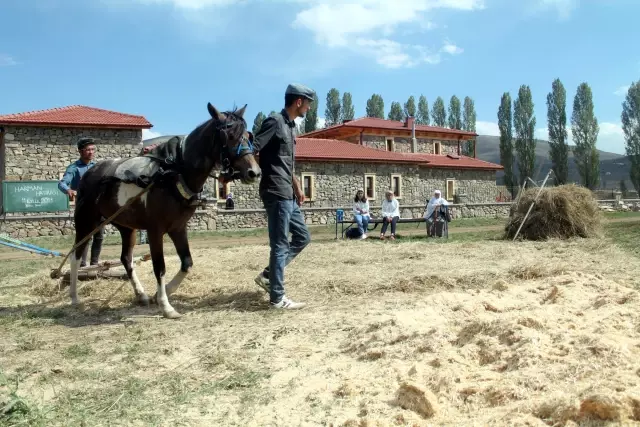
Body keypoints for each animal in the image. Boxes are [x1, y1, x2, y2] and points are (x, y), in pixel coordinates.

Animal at [70, 103, 260, 318]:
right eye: (230, 136)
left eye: (247, 135)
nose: (254, 172)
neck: (173, 173)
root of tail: (90, 172)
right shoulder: (155, 231)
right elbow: (159, 267)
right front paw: (165, 305)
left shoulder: (178, 228)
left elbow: (187, 263)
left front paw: (163, 293)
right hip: (86, 222)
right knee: (76, 255)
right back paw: (74, 297)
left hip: (126, 227)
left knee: (126, 258)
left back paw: (141, 294)